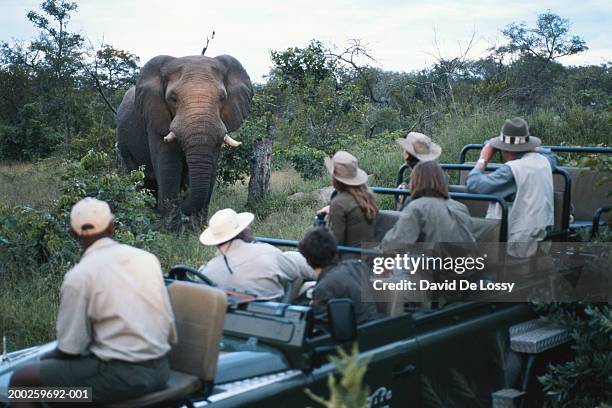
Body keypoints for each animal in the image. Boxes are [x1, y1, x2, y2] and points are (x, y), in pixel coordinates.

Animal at [116, 55, 252, 218]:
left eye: (222, 98)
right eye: (172, 98)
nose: (183, 201)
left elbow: (211, 167)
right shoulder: (155, 119)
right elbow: (169, 167)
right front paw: (171, 222)